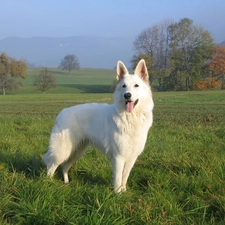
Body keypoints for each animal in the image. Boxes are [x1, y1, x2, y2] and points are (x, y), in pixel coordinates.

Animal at [43, 59, 154, 192]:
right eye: (124, 86)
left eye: (136, 85)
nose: (127, 95)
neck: (131, 118)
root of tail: (62, 113)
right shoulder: (119, 157)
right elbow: (118, 178)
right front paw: (117, 193)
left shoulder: (132, 157)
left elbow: (124, 177)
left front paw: (123, 191)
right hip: (63, 151)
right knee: (51, 166)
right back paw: (49, 184)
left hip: (77, 151)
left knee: (64, 166)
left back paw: (66, 183)